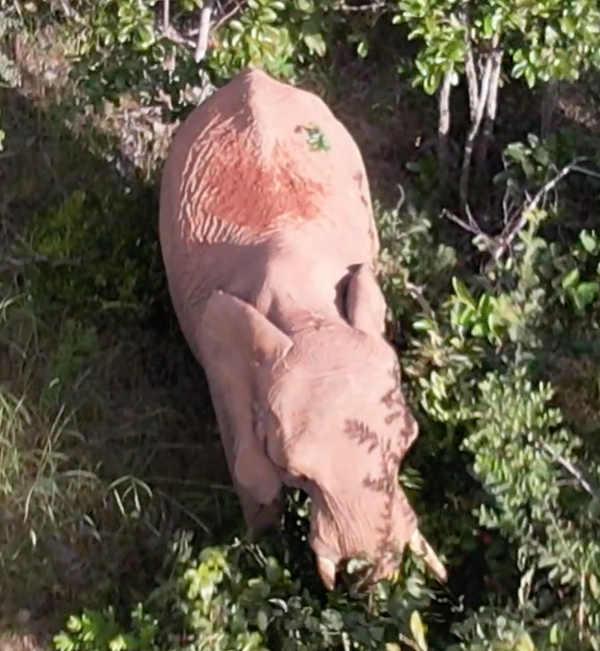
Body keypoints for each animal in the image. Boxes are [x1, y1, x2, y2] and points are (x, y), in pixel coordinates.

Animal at [159, 66, 446, 590]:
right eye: (299, 472)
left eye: (408, 443)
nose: (363, 578)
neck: (309, 316)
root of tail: (250, 73)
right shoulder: (223, 370)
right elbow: (253, 475)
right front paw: (259, 555)